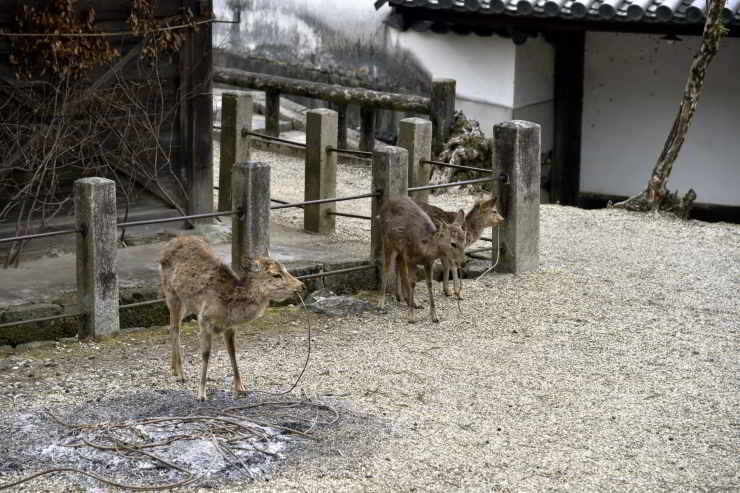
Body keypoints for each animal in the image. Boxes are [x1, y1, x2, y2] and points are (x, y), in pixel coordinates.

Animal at [159, 234, 304, 400]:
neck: (229, 307)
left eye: (285, 269)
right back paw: (181, 373)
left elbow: (232, 352)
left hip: (187, 304)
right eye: (276, 275)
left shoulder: (230, 326)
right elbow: (206, 354)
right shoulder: (204, 320)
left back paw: (174, 368)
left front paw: (241, 388)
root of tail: (170, 243)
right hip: (172, 294)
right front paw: (201, 394)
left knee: (173, 326)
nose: (301, 285)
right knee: (175, 328)